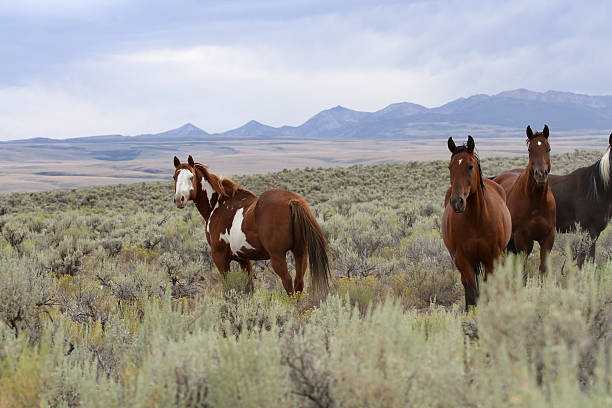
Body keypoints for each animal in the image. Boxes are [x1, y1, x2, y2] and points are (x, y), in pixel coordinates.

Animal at [172, 155, 330, 298]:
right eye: (174, 177)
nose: (179, 199)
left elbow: (227, 287)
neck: (218, 206)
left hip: (278, 256)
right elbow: (249, 288)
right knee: (298, 283)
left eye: (191, 177)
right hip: (300, 252)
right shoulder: (244, 259)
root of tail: (292, 201)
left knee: (288, 282)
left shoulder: (220, 257)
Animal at [440, 135, 512, 308]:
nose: (457, 202)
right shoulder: (463, 259)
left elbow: (487, 287)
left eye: (470, 166)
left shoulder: (491, 258)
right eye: (450, 168)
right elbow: (473, 290)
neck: (476, 220)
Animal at [492, 125, 556, 274]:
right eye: (530, 149)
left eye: (548, 149)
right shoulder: (523, 238)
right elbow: (523, 270)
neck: (537, 202)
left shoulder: (547, 238)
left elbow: (543, 269)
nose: (540, 174)